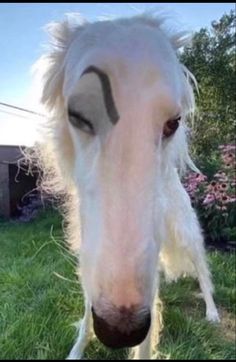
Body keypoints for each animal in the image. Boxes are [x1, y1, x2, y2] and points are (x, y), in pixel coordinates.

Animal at [34, 10, 220, 360]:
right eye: (77, 115)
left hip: (186, 233)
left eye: (174, 122)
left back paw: (213, 312)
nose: (120, 332)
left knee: (203, 272)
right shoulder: (91, 261)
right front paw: (78, 349)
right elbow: (86, 318)